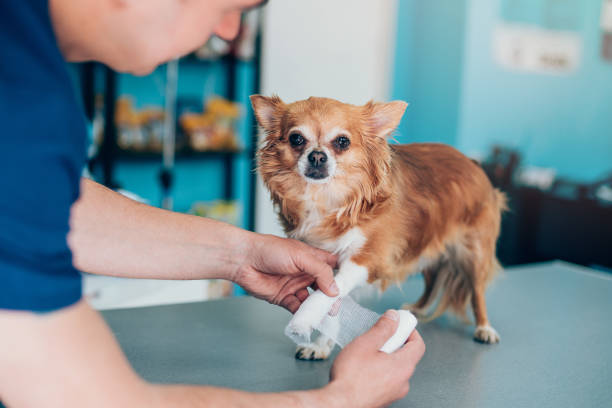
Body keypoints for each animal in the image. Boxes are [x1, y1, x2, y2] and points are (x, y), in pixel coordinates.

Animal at [250, 95, 506, 360]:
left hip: (474, 253)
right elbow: (335, 301)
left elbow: (331, 292)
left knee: (477, 292)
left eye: (342, 142)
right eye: (296, 139)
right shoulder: (325, 260)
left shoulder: (367, 258)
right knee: (433, 279)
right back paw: (420, 308)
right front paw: (322, 345)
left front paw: (306, 320)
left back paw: (484, 328)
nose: (318, 156)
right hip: (424, 244)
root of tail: (474, 164)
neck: (327, 198)